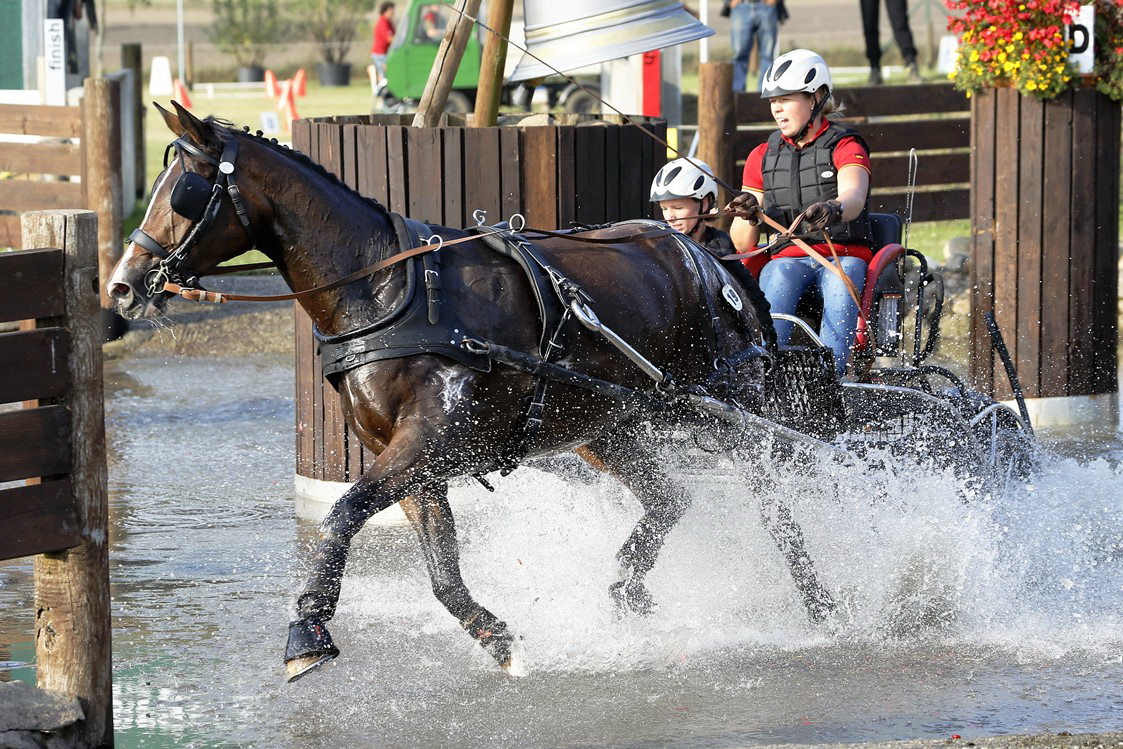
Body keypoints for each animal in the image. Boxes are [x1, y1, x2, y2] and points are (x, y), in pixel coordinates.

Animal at [108, 101, 835, 682]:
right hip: (607, 426)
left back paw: (820, 601)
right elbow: (441, 572)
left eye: (185, 191)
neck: (386, 291)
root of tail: (714, 263)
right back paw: (626, 591)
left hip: (724, 411)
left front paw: (307, 632)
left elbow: (343, 513)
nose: (122, 285)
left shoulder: (426, 441)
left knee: (774, 502)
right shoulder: (420, 465)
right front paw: (496, 636)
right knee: (670, 498)